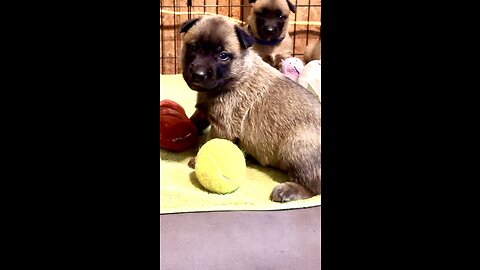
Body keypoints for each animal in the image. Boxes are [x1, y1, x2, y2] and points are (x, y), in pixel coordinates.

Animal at [178, 15, 320, 202]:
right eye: (193, 47)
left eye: (223, 55)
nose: (198, 74)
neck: (236, 77)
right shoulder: (204, 111)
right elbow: (194, 120)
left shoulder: (223, 126)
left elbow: (210, 141)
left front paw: (196, 159)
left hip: (296, 146)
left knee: (314, 186)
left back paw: (288, 190)